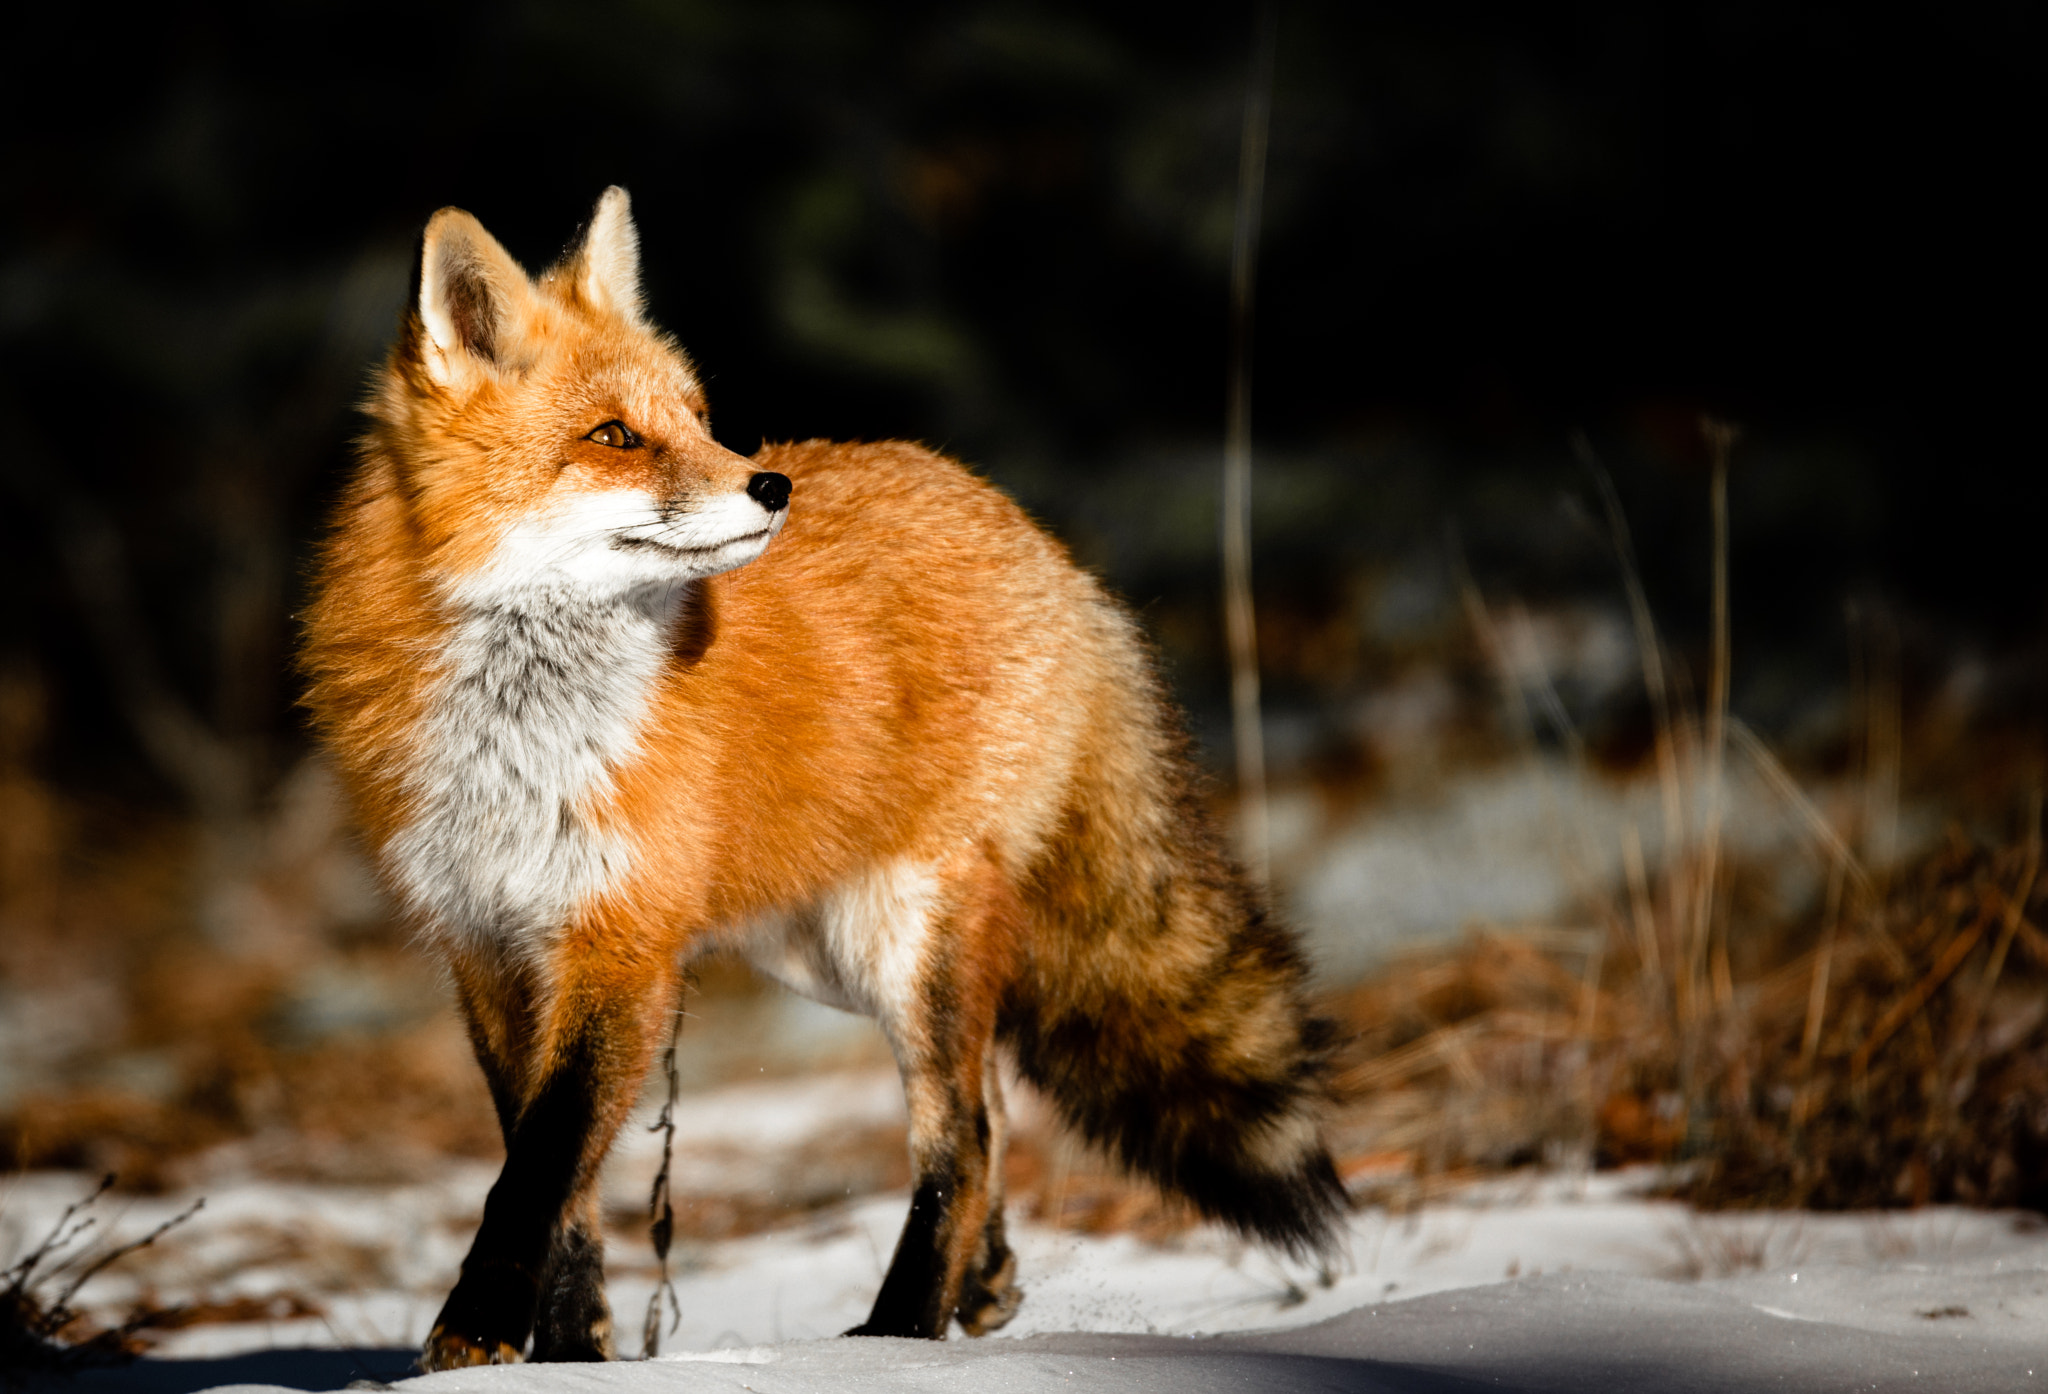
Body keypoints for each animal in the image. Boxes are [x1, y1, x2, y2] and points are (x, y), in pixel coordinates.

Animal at [301, 186, 1345, 1369]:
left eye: (699, 416)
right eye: (614, 436)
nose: (770, 483)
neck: (523, 735)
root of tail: (1031, 532)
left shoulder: (621, 943)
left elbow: (538, 1165)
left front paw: (478, 1328)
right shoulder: (484, 944)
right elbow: (551, 1169)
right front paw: (573, 1348)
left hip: (904, 937)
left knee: (962, 1137)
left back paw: (895, 1335)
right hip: (825, 953)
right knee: (988, 1104)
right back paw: (982, 1281)